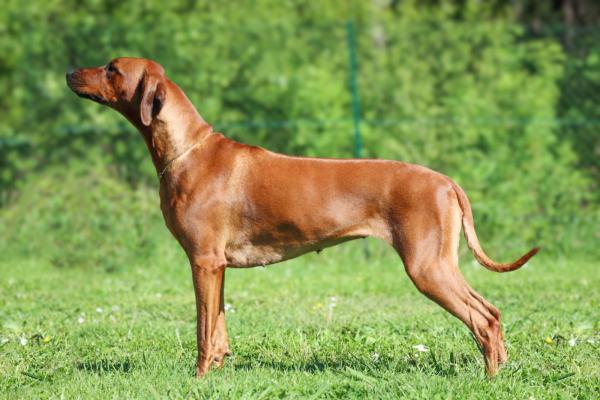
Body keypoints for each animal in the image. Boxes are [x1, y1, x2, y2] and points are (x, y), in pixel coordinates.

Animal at [65, 57, 540, 378]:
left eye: (111, 68)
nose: (69, 72)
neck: (187, 150)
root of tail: (447, 181)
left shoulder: (203, 261)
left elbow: (202, 330)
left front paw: (198, 378)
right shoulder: (217, 266)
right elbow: (218, 328)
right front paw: (217, 372)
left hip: (427, 267)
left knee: (482, 318)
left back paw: (489, 376)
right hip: (440, 264)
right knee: (492, 311)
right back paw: (502, 370)